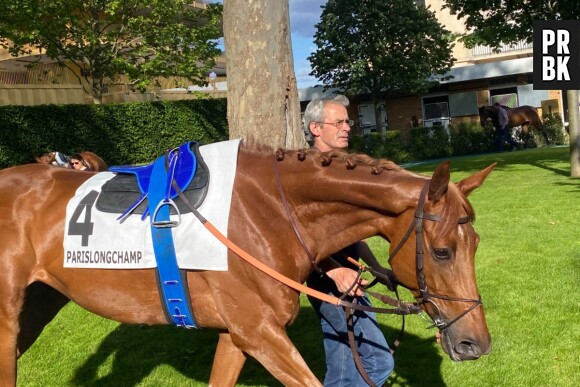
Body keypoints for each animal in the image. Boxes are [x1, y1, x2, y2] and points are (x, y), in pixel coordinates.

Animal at [0, 142, 494, 387]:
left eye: (476, 244)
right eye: (443, 251)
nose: (476, 344)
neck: (268, 212)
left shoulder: (237, 335)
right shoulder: (261, 334)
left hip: (38, 307)